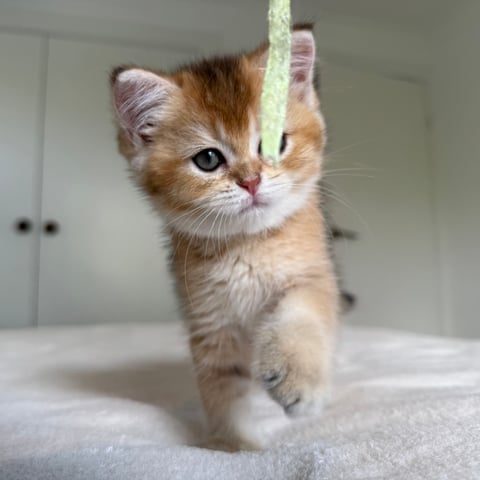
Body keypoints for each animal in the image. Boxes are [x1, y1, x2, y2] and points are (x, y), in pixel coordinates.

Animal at [110, 24, 339, 450]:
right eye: (208, 160)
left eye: (273, 143)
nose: (251, 181)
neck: (247, 246)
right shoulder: (210, 325)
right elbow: (223, 393)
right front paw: (236, 447)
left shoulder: (312, 276)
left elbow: (299, 313)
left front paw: (299, 379)